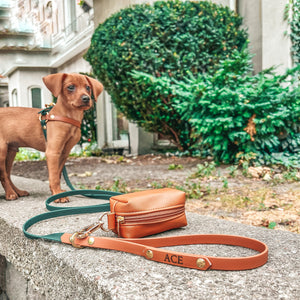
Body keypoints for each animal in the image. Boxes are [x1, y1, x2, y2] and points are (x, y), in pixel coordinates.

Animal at [0, 73, 103, 203]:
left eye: (88, 87)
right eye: (70, 87)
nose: (86, 98)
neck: (69, 118)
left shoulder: (64, 152)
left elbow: (57, 174)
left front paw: (56, 192)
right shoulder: (53, 151)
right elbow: (53, 175)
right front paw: (58, 195)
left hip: (11, 150)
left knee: (7, 174)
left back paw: (17, 191)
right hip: (2, 151)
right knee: (3, 174)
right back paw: (10, 194)